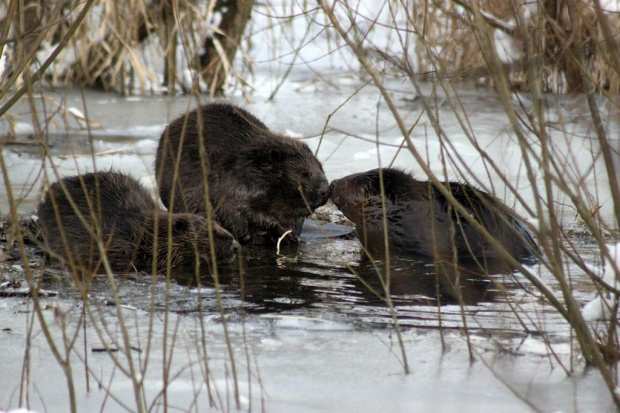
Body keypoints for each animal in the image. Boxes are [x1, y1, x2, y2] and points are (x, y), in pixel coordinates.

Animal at [154, 103, 330, 245]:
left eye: (321, 167)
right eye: (304, 173)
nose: (325, 191)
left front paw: (292, 235)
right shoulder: (235, 183)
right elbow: (244, 210)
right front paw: (281, 232)